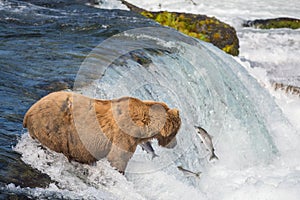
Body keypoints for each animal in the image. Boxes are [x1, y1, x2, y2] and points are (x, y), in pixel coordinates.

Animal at [22, 91, 180, 173]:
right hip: (53, 128)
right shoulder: (124, 133)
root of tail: (28, 112)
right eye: (176, 133)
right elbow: (118, 158)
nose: (175, 144)